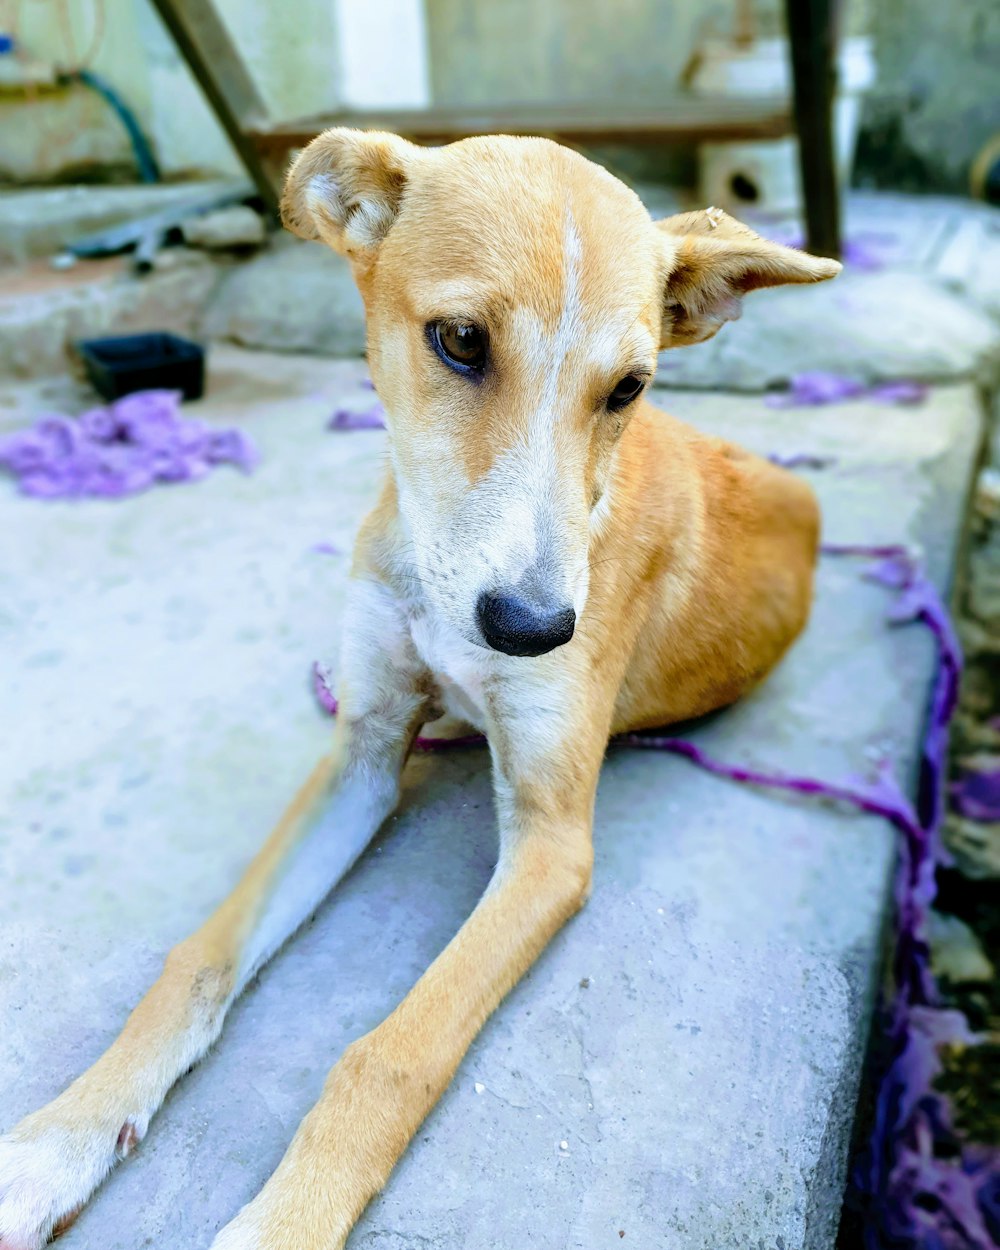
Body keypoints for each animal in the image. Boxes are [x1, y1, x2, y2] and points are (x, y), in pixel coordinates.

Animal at [0, 131, 840, 1245]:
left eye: (627, 389)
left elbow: (392, 1054)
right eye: (459, 341)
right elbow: (198, 959)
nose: (534, 630)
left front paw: (283, 1223)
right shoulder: (359, 755)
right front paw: (59, 1139)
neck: (439, 584)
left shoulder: (550, 847)